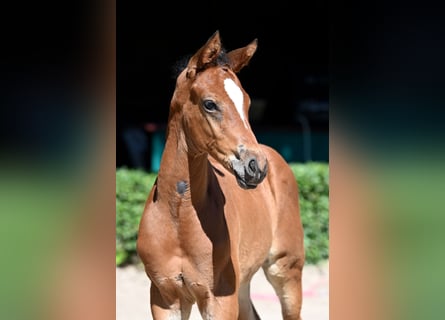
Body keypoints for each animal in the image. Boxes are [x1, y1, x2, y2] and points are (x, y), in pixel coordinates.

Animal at [137, 30, 304, 320]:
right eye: (210, 104)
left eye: (247, 103)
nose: (256, 166)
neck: (178, 218)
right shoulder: (164, 297)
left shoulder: (220, 299)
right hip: (243, 283)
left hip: (286, 270)